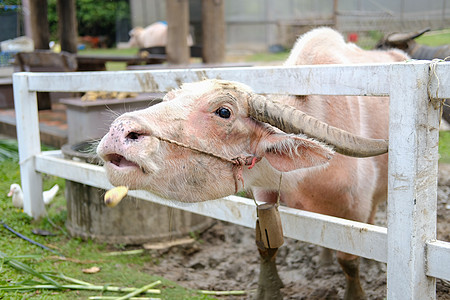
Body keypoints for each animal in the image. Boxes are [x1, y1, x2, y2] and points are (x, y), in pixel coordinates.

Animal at [97, 27, 408, 298]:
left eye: (224, 112)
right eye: (168, 98)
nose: (119, 131)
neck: (306, 178)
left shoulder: (356, 209)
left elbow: (350, 262)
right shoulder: (266, 193)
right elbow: (267, 248)